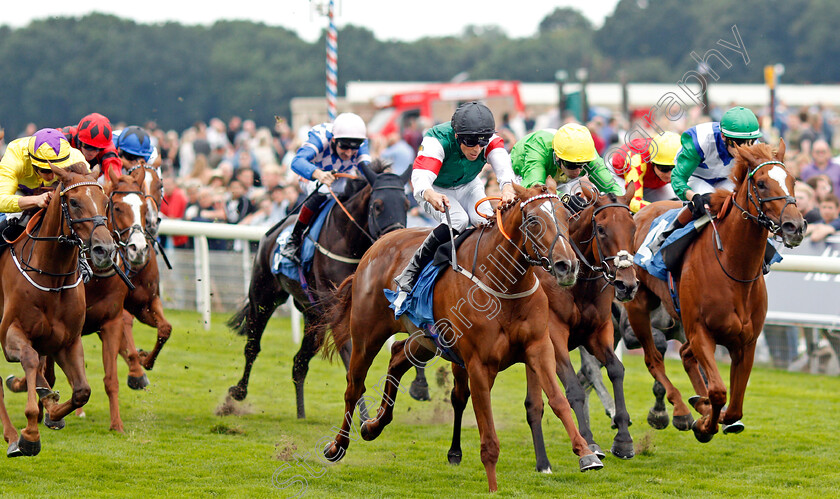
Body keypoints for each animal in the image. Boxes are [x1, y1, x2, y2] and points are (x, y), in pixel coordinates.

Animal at [0, 164, 115, 458]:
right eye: (73, 202)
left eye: (105, 201)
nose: (105, 250)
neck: (52, 276)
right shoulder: (10, 335)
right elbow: (29, 359)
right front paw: (29, 435)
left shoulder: (67, 340)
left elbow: (82, 391)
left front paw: (52, 412)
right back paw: (11, 436)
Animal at [226, 162, 414, 420]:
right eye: (377, 206)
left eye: (406, 204)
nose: (396, 237)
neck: (349, 243)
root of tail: (271, 234)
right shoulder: (339, 312)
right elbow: (352, 359)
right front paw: (362, 415)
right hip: (263, 296)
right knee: (253, 346)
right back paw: (238, 392)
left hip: (314, 317)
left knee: (299, 362)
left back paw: (301, 414)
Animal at [318, 183, 600, 492]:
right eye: (534, 221)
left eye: (566, 217)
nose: (567, 266)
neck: (505, 286)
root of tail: (378, 243)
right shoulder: (479, 363)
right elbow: (487, 429)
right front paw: (493, 487)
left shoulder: (538, 347)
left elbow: (558, 399)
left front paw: (586, 453)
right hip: (366, 335)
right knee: (354, 387)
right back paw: (337, 446)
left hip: (425, 339)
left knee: (397, 356)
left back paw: (373, 425)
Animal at [628, 141, 804, 442]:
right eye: (761, 183)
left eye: (792, 180)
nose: (796, 226)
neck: (735, 270)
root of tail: (639, 213)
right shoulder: (701, 332)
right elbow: (719, 392)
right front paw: (703, 425)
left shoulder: (746, 342)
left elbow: (734, 407)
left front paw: (711, 414)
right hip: (638, 305)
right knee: (654, 359)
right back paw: (680, 410)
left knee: (685, 354)